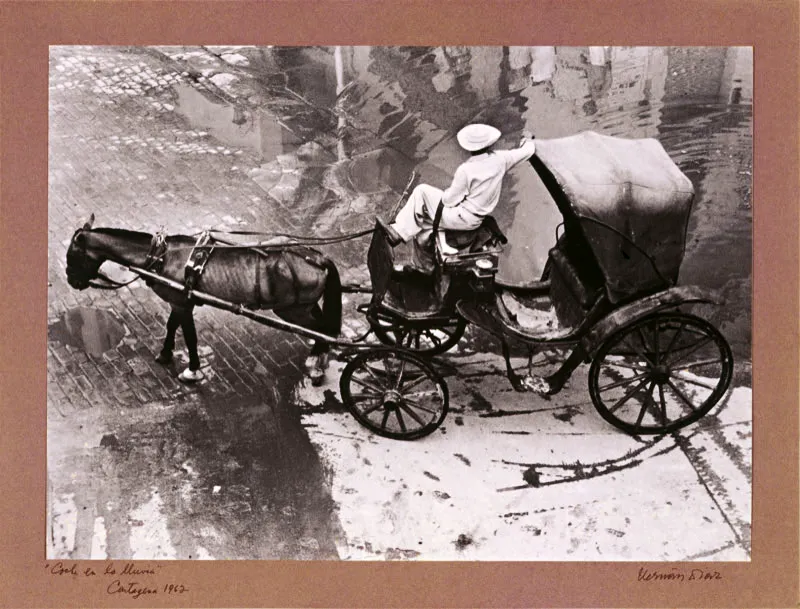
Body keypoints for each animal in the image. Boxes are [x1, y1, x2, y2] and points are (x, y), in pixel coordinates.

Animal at [67, 216, 342, 382]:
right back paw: (318, 355)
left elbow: (189, 336)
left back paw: (317, 363)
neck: (161, 257)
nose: (72, 281)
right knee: (323, 326)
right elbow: (172, 326)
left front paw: (192, 369)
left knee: (322, 330)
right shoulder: (179, 302)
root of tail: (318, 258)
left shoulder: (182, 304)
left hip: (292, 310)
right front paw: (165, 354)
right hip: (304, 307)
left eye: (73, 255)